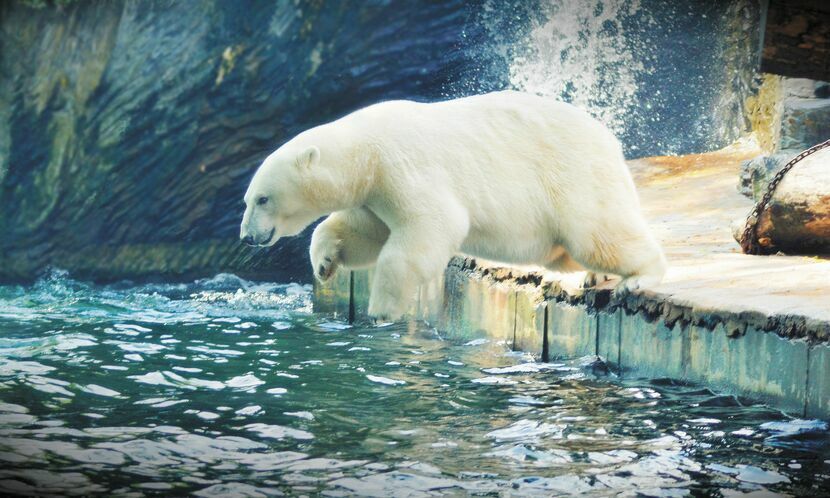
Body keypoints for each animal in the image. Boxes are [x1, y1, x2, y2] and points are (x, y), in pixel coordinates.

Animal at [240, 90, 668, 320]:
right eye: (248, 199)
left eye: (263, 198)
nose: (246, 236)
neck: (365, 152)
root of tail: (609, 140)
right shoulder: (375, 191)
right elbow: (364, 231)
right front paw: (325, 262)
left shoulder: (404, 167)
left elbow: (427, 230)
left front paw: (381, 310)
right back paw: (590, 276)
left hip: (572, 178)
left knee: (598, 233)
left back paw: (638, 276)